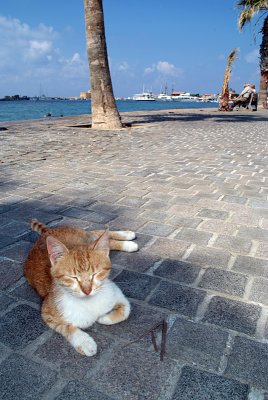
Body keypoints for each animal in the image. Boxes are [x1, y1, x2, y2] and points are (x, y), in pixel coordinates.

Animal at [24, 220, 138, 358]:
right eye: (73, 277)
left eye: (95, 274)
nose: (87, 290)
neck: (89, 302)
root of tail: (48, 231)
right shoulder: (47, 312)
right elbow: (66, 327)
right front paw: (85, 343)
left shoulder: (116, 293)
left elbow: (125, 310)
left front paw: (104, 318)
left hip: (87, 237)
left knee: (100, 233)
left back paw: (127, 237)